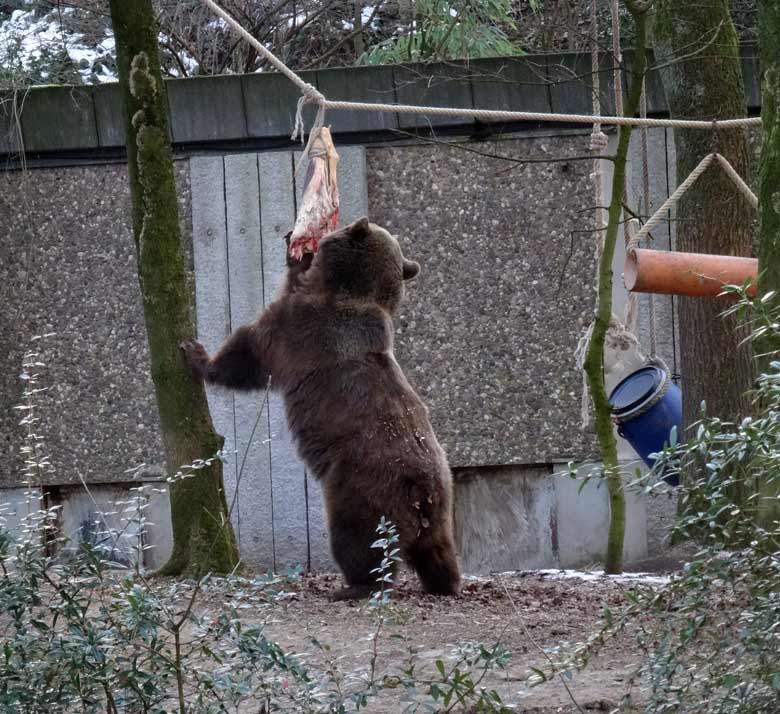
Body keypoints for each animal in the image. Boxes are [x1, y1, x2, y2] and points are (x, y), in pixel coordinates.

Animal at [181, 220, 464, 596]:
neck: (346, 292)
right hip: (441, 499)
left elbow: (248, 352)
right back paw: (444, 582)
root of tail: (421, 487)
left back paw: (354, 587)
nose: (293, 233)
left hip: (360, 486)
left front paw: (196, 354)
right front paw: (297, 254)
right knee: (437, 547)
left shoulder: (299, 329)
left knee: (359, 540)